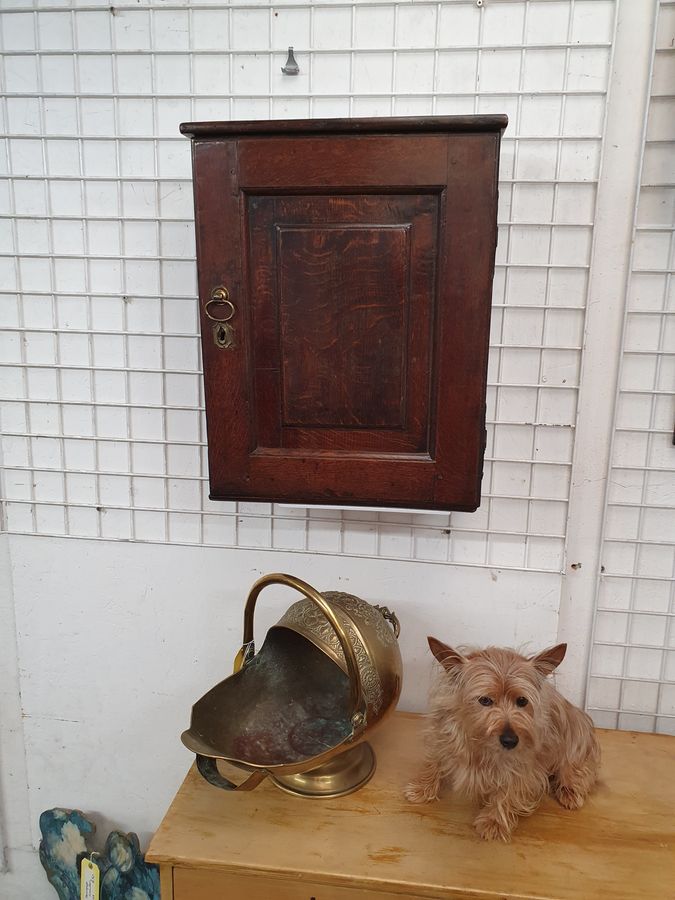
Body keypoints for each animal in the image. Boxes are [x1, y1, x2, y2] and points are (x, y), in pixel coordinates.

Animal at [406, 636, 604, 840]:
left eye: (522, 701)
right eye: (485, 700)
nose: (511, 741)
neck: (479, 743)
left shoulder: (522, 765)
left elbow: (508, 790)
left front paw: (494, 820)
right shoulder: (443, 736)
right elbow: (434, 762)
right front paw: (422, 788)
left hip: (576, 742)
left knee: (576, 771)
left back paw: (569, 792)